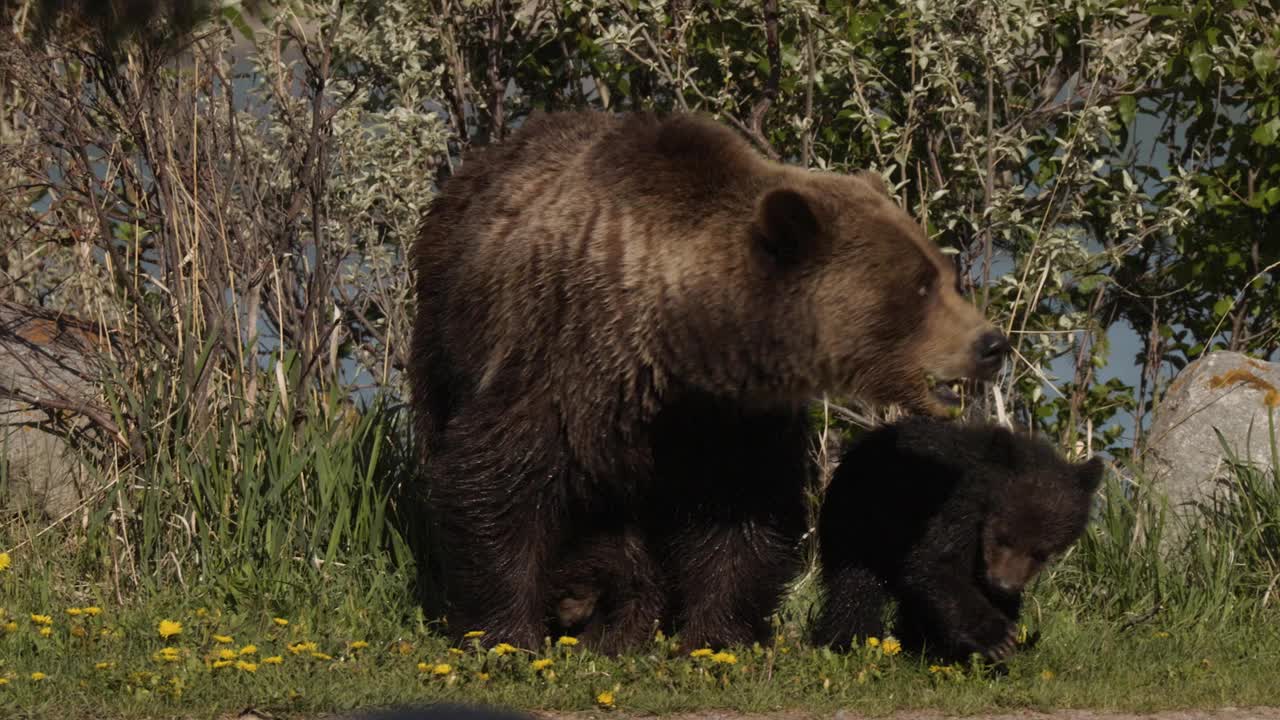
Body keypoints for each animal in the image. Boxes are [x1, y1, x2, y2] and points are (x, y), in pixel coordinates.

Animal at [409, 107, 1008, 650]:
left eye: (945, 275)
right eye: (921, 286)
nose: (992, 345)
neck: (681, 342)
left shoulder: (731, 417)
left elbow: (743, 512)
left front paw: (717, 636)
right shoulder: (564, 363)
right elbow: (499, 482)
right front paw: (505, 633)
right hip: (444, 333)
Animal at [808, 415, 1100, 661]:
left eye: (1041, 553)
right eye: (1002, 537)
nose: (1003, 584)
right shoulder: (951, 512)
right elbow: (935, 564)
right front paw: (997, 638)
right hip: (860, 522)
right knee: (855, 586)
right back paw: (847, 641)